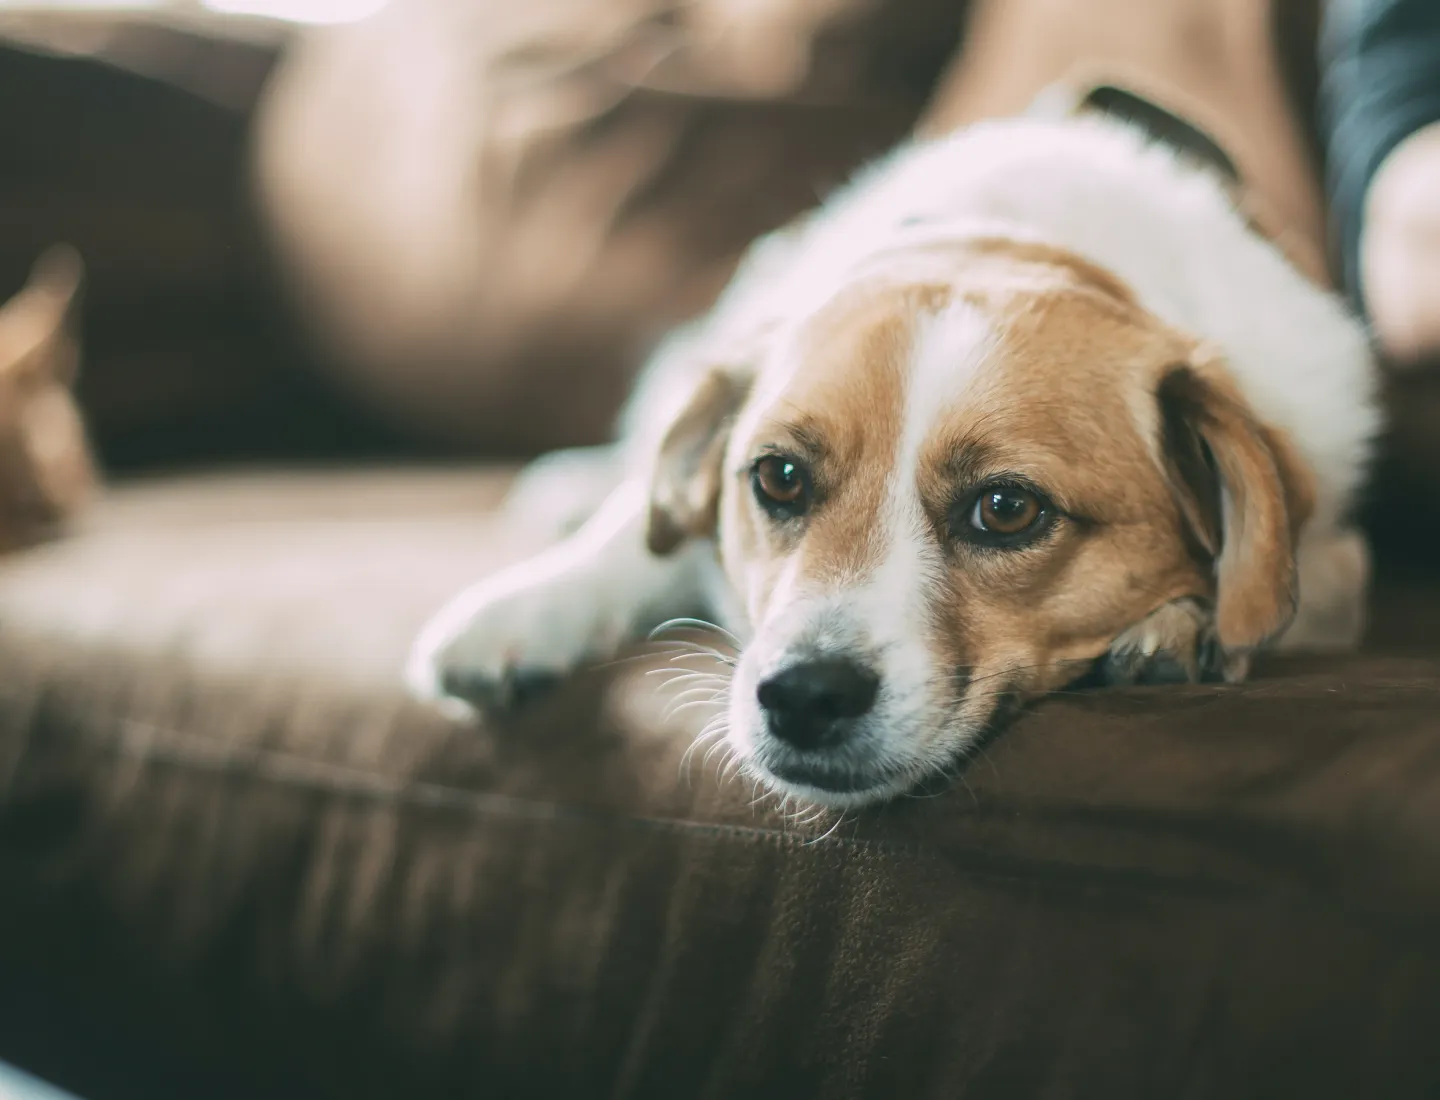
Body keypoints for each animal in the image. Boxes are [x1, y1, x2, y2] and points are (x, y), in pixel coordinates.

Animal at [406, 94, 1382, 806]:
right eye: (778, 478)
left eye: (1007, 509)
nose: (803, 697)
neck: (1011, 240)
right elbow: (634, 534)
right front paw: (524, 610)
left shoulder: (1332, 554)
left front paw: (1181, 625)